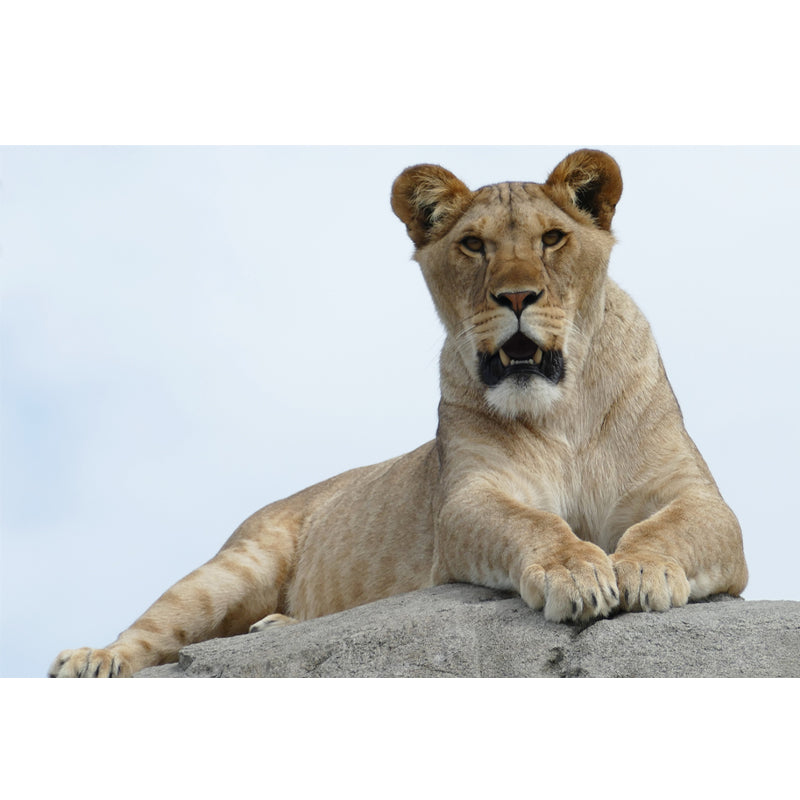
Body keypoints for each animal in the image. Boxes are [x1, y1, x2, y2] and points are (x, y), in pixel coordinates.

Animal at [49, 149, 748, 677]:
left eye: (553, 239)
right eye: (473, 245)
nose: (517, 296)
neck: (563, 410)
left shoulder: (699, 497)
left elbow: (673, 526)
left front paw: (643, 570)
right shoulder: (467, 499)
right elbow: (535, 525)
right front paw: (577, 572)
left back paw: (272, 627)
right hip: (234, 566)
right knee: (156, 629)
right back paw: (93, 659)